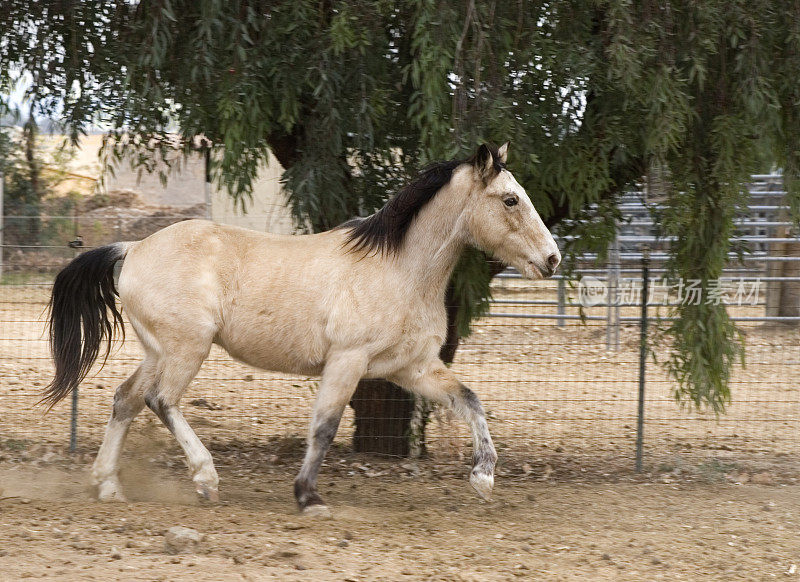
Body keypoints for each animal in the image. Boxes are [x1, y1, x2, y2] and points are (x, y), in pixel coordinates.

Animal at [42, 144, 556, 516]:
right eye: (510, 199)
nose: (552, 259)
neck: (401, 270)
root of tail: (132, 249)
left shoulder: (412, 369)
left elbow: (470, 400)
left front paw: (483, 478)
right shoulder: (348, 360)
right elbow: (324, 427)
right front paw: (308, 498)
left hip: (159, 351)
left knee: (126, 399)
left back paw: (108, 487)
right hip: (188, 348)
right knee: (160, 400)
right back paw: (206, 480)